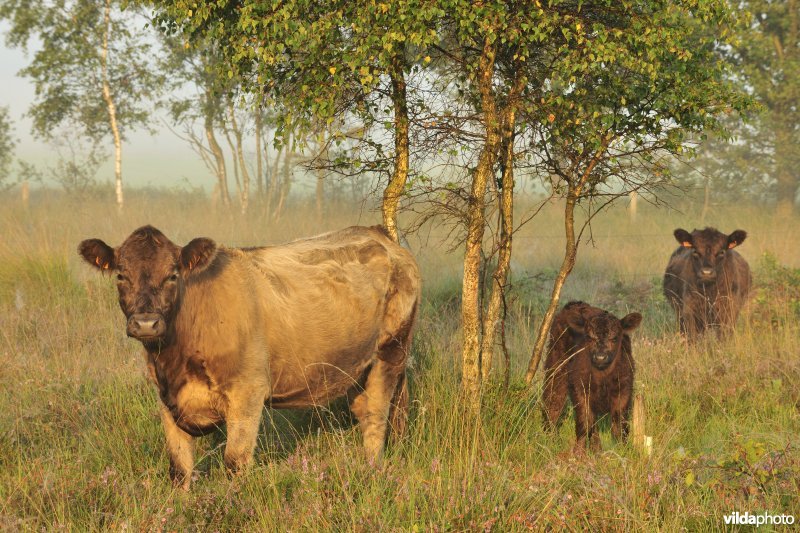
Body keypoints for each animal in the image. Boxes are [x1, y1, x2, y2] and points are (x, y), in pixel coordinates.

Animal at [78, 222, 422, 488]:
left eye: (173, 275)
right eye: (121, 276)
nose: (146, 323)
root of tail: (379, 235)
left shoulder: (248, 391)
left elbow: (235, 462)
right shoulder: (166, 399)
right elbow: (179, 469)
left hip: (390, 350)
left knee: (375, 416)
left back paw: (371, 472)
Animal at [536, 302, 644, 450]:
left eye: (614, 338)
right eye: (589, 337)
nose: (600, 357)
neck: (602, 377)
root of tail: (575, 303)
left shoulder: (623, 392)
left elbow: (619, 424)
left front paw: (622, 449)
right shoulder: (580, 391)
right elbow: (584, 423)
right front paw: (579, 452)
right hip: (556, 367)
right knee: (553, 401)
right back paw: (551, 438)